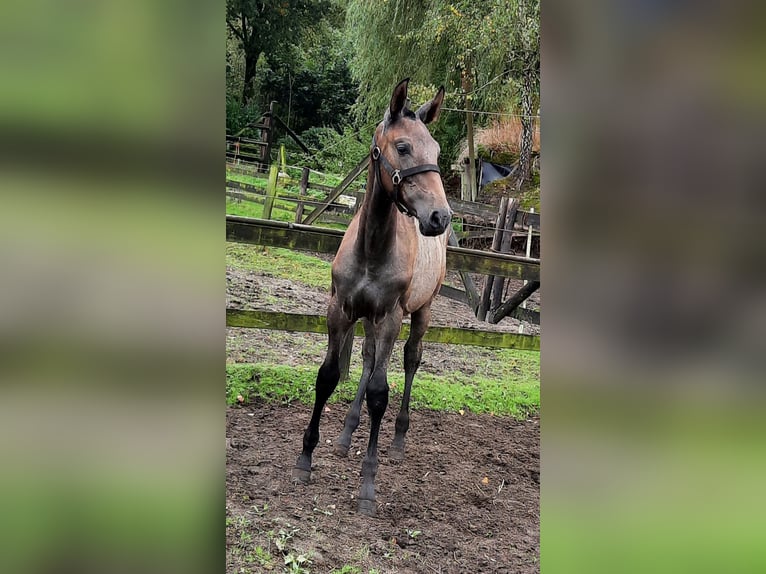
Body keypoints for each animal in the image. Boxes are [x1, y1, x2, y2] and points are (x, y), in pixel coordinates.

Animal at [292, 77, 452, 516]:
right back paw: (346, 435)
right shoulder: (341, 311)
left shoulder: (391, 318)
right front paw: (305, 460)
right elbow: (328, 376)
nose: (440, 217)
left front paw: (368, 483)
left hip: (422, 311)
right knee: (365, 361)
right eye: (403, 147)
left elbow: (380, 393)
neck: (372, 247)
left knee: (411, 360)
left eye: (436, 151)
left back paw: (396, 441)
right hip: (367, 319)